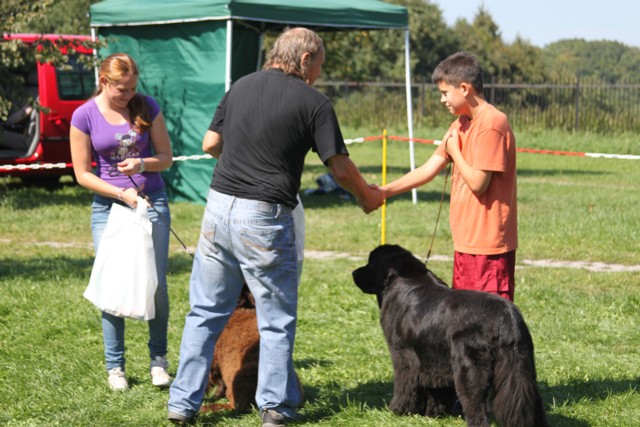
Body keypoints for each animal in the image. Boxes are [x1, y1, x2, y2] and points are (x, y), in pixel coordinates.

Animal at [352, 244, 548, 427]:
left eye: (371, 263)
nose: (354, 273)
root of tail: (507, 316)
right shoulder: (433, 357)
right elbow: (436, 389)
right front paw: (433, 414)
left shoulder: (403, 354)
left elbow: (404, 384)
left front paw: (398, 410)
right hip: (520, 367)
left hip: (469, 366)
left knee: (476, 405)